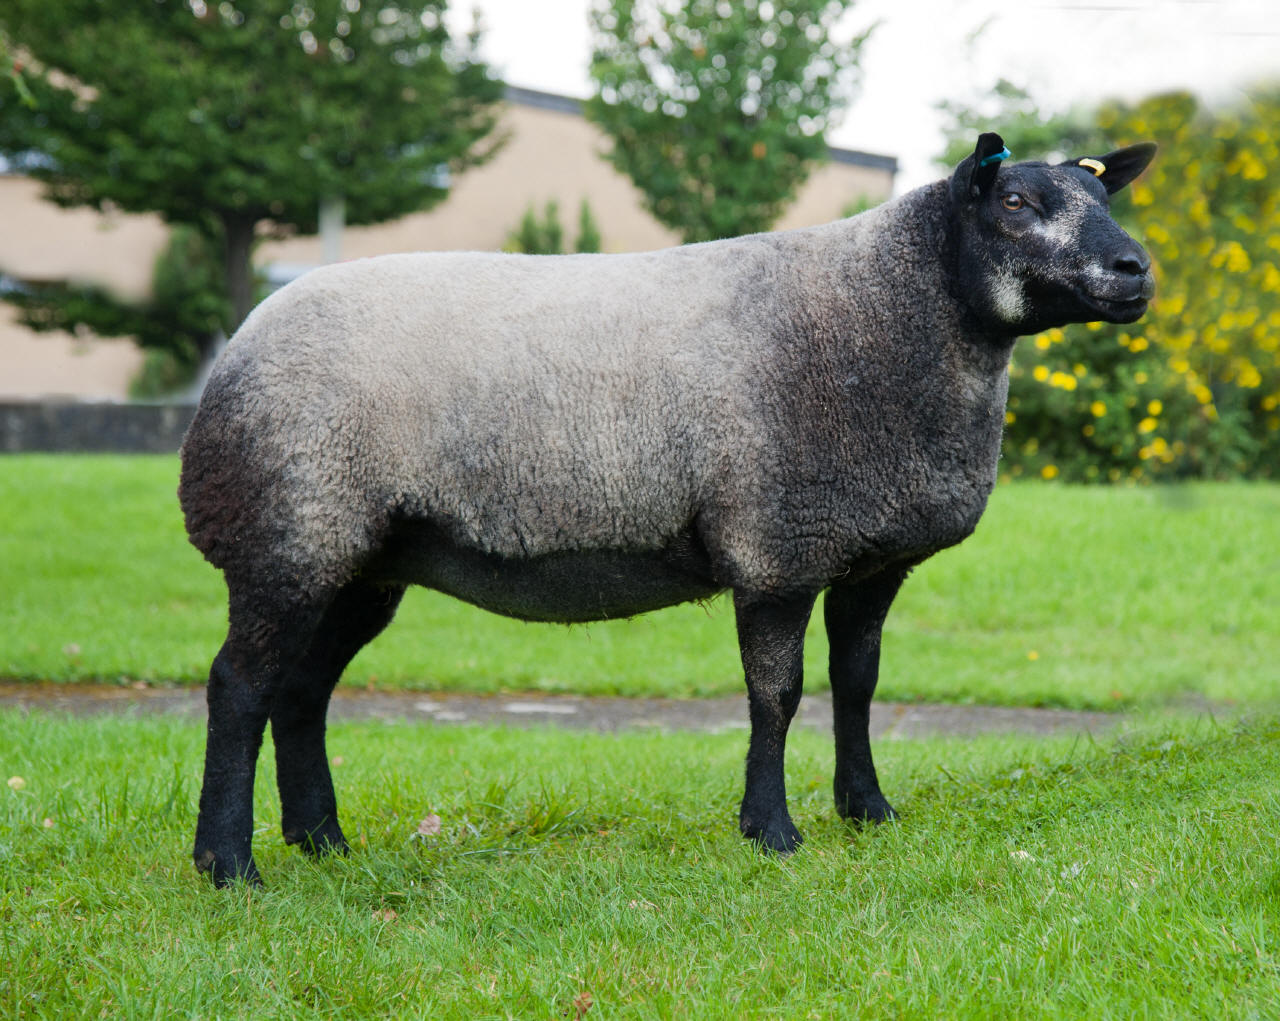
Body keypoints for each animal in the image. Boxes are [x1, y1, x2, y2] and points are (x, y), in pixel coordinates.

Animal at [179, 132, 1156, 886]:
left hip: (360, 560)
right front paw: (772, 830)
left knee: (302, 689)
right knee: (239, 687)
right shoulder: (775, 544)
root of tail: (235, 354)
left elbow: (858, 683)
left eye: (1102, 193)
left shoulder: (870, 557)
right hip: (290, 531)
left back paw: (323, 842)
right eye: (1017, 201)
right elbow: (777, 696)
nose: (1136, 269)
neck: (885, 313)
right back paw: (231, 866)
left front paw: (868, 809)